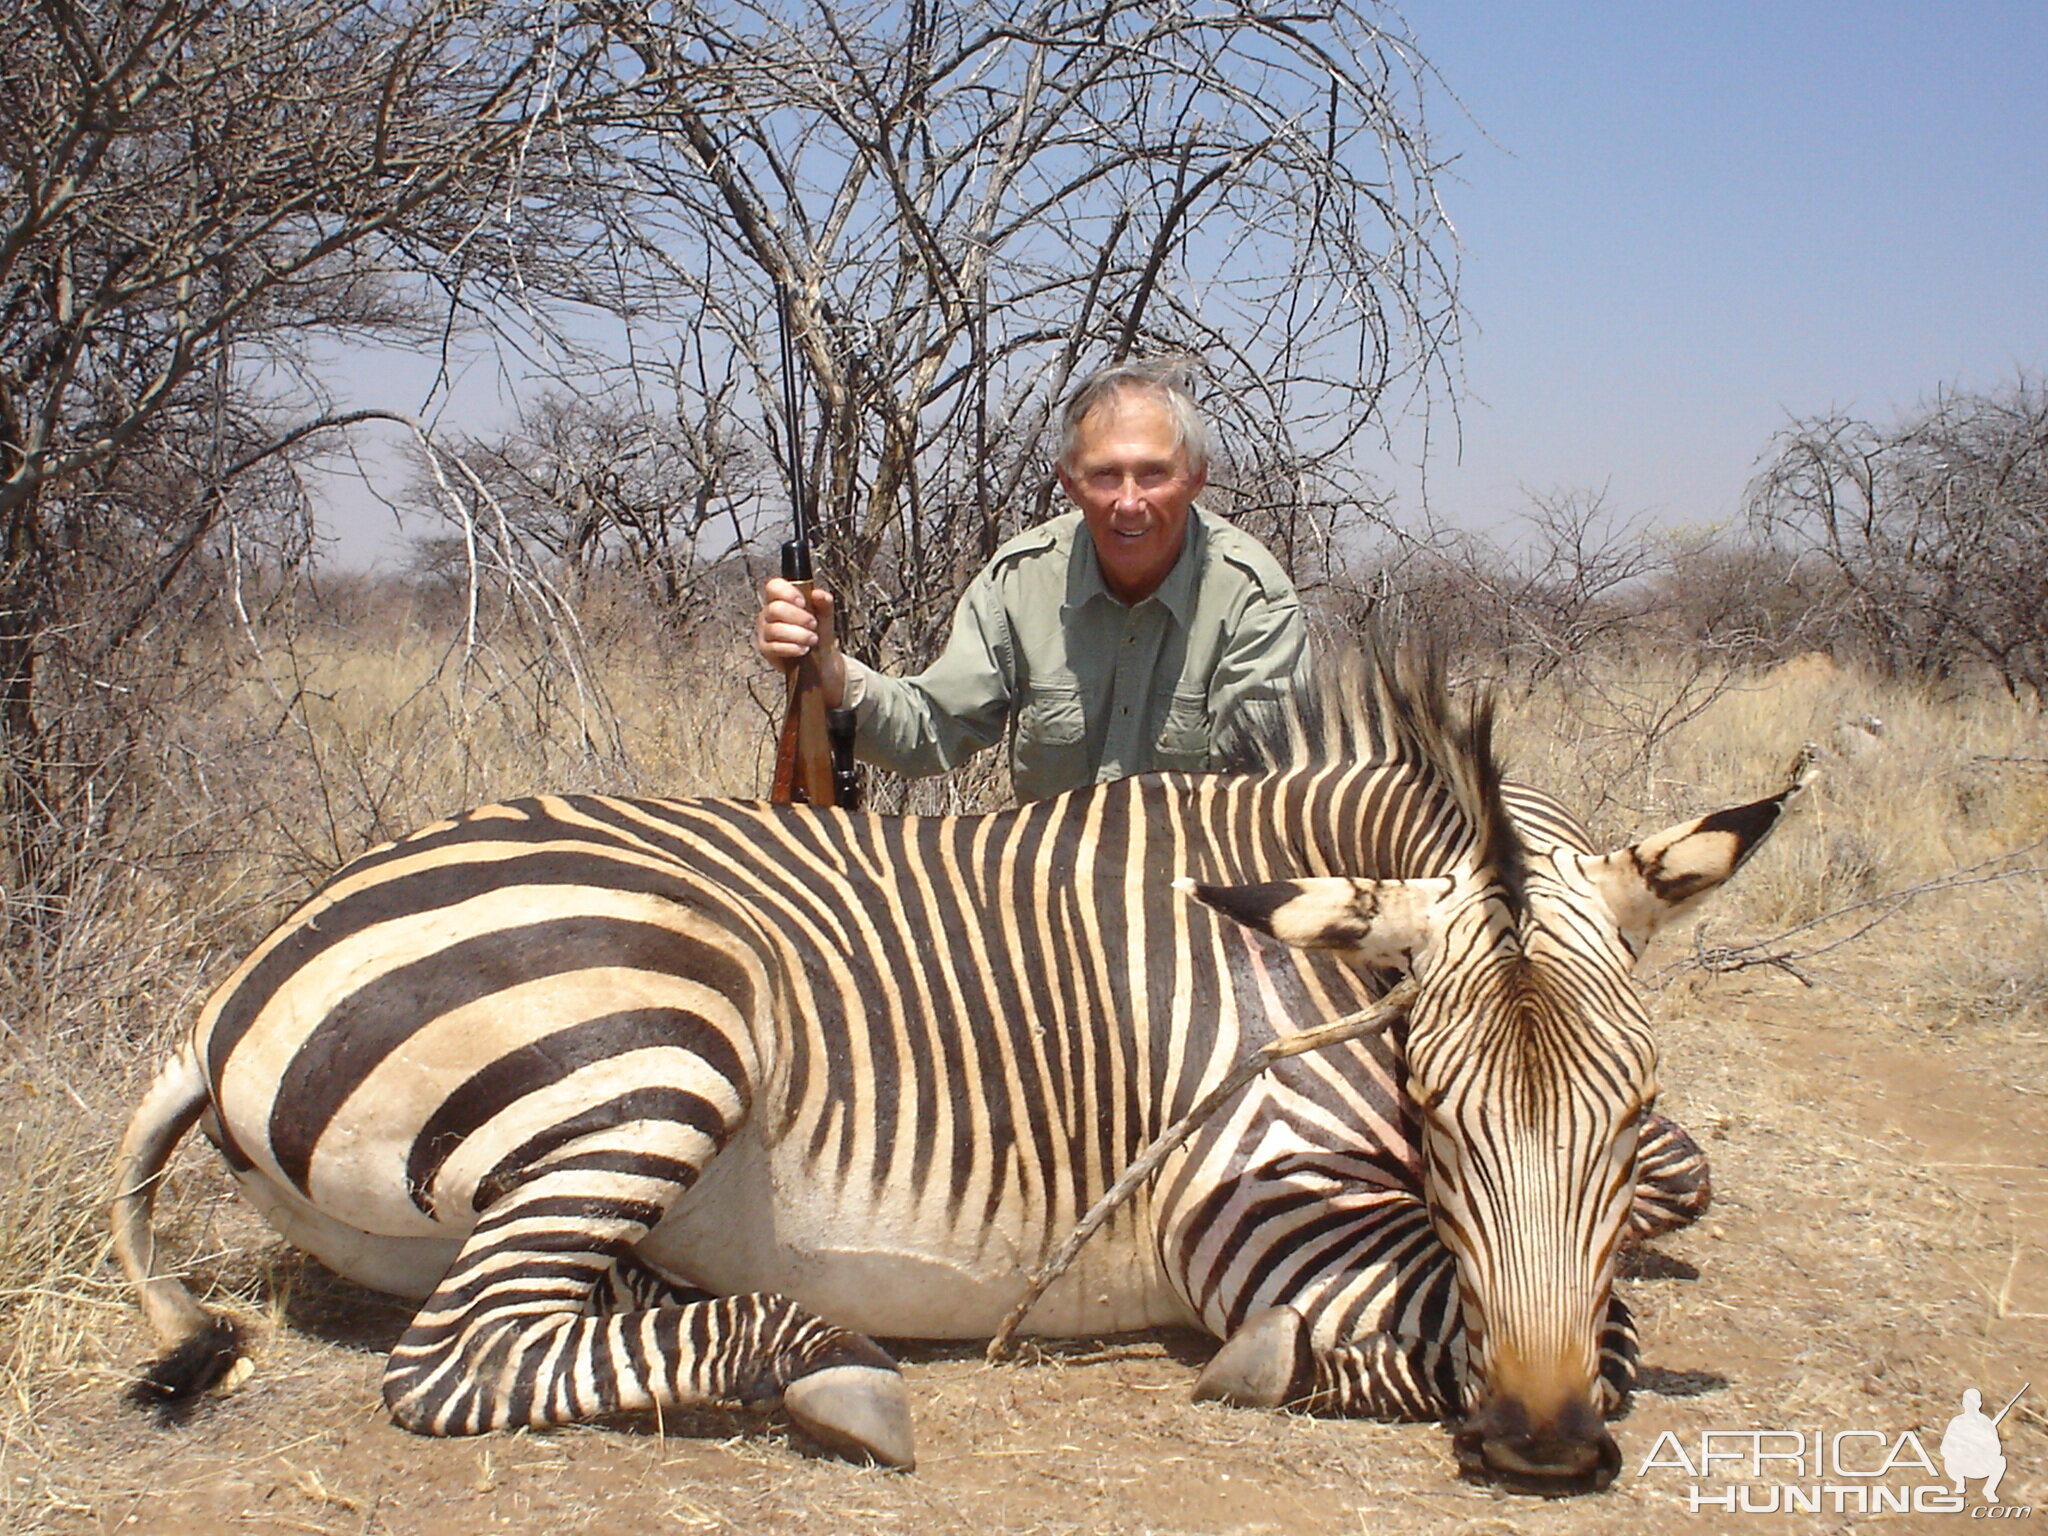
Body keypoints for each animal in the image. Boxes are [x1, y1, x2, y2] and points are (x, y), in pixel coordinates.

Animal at [112, 651, 1810, 1490]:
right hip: (658, 1044)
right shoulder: (1254, 1210)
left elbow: (1668, 1213)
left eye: (1628, 1109)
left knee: (545, 1311)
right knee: (457, 1362)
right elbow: (1572, 1329)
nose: (1545, 1446)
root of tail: (231, 985)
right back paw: (838, 1375)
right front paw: (1267, 1360)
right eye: (1436, 1114)